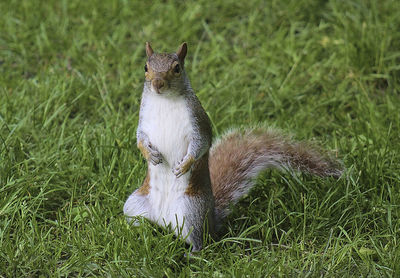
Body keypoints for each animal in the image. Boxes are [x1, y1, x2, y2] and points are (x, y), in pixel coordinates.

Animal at [122, 42, 344, 253]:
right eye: (146, 67)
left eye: (177, 68)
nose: (157, 84)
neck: (164, 101)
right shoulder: (144, 121)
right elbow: (140, 139)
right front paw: (149, 155)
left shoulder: (198, 122)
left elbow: (201, 144)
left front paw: (184, 165)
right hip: (134, 204)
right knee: (139, 220)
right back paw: (140, 232)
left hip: (191, 211)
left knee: (200, 242)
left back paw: (191, 252)